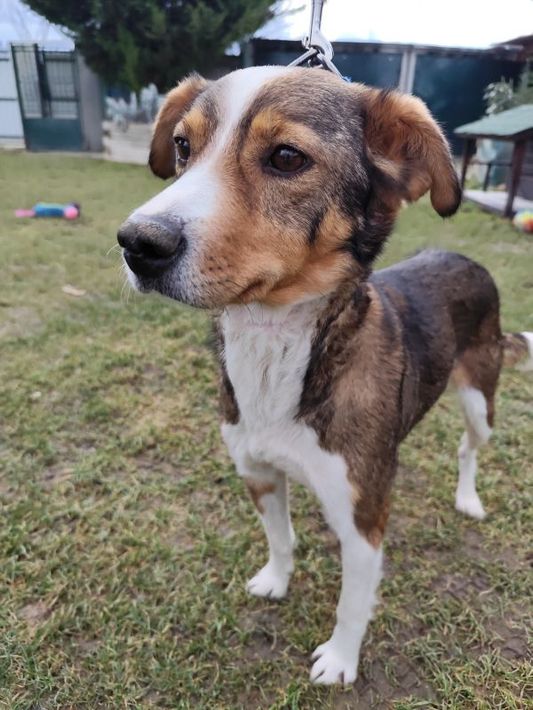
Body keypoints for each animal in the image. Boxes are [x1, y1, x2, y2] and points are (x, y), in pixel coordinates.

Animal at [117, 66, 533, 685]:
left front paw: (339, 660)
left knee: (468, 447)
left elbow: (352, 602)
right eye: (183, 146)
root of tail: (464, 257)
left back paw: (468, 499)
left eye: (287, 158)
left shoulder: (362, 518)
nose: (137, 243)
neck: (275, 346)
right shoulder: (259, 472)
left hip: (482, 398)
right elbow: (281, 539)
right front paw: (276, 580)